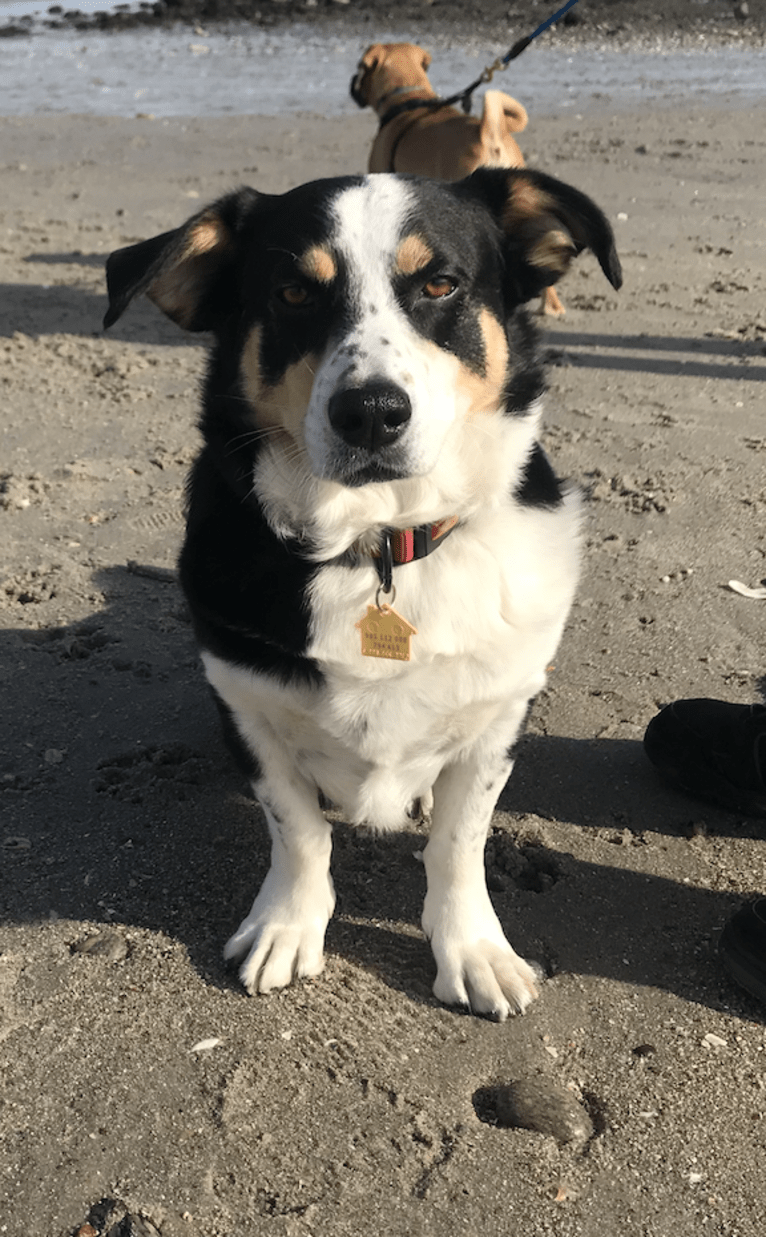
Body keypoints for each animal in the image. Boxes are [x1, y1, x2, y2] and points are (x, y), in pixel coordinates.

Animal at [105, 169, 623, 1019]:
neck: (379, 544)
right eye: (291, 293)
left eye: (441, 283)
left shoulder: (498, 719)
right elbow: (298, 831)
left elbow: (459, 842)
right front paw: (288, 924)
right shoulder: (249, 712)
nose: (372, 413)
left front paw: (472, 947)